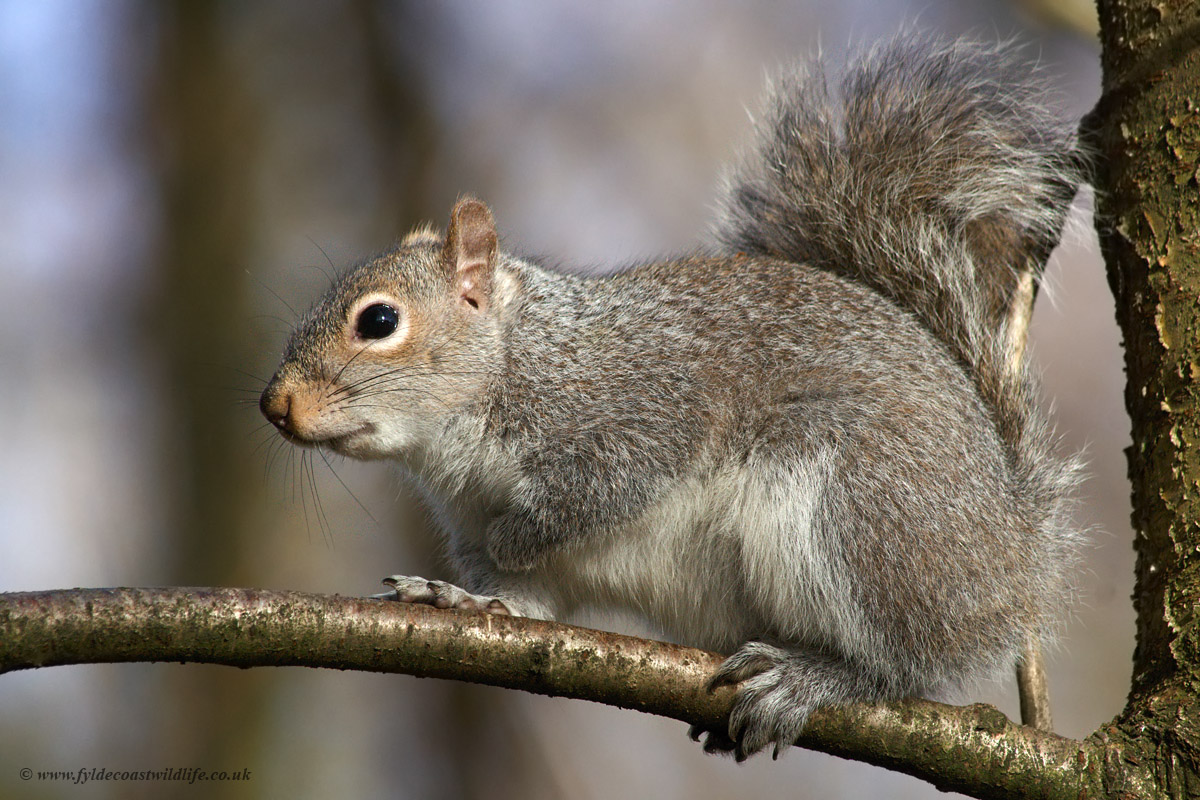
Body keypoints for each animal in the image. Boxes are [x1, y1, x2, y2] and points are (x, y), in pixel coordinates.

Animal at [262, 37, 1089, 762]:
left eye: (378, 321)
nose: (275, 406)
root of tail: (1014, 555)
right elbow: (521, 605)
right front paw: (456, 600)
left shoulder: (639, 411)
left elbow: (598, 493)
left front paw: (518, 534)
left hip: (857, 509)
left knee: (902, 662)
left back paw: (816, 678)